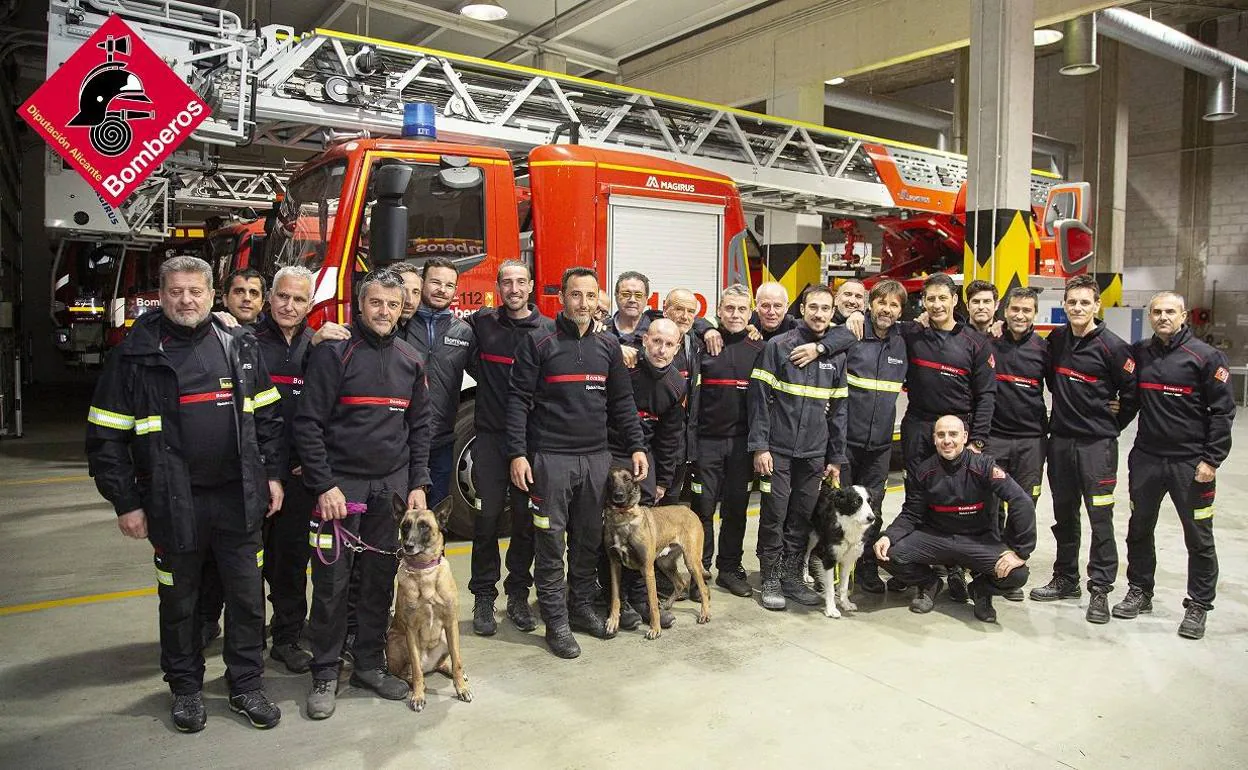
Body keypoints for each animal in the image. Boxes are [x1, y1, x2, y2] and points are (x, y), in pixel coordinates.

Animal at [381, 496, 469, 713]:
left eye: (424, 526)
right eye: (405, 526)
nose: (408, 545)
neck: (424, 572)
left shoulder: (450, 623)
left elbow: (457, 661)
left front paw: (461, 688)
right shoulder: (411, 631)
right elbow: (416, 670)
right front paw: (418, 696)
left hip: (447, 637)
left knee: (447, 661)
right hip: (396, 641)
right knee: (407, 671)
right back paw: (413, 682)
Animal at [604, 469, 713, 636]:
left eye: (628, 479)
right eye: (610, 480)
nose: (618, 495)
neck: (623, 518)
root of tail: (688, 509)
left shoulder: (647, 569)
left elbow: (652, 601)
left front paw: (655, 629)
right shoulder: (614, 565)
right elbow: (615, 597)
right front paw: (613, 621)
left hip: (691, 561)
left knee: (703, 589)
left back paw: (704, 614)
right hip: (664, 563)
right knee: (680, 583)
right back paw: (667, 604)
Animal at [808, 484, 878, 616]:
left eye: (870, 502)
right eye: (856, 502)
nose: (872, 518)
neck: (849, 525)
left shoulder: (848, 560)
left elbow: (844, 586)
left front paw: (845, 603)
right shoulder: (829, 558)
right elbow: (830, 587)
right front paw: (831, 609)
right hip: (812, 538)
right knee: (806, 555)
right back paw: (805, 576)